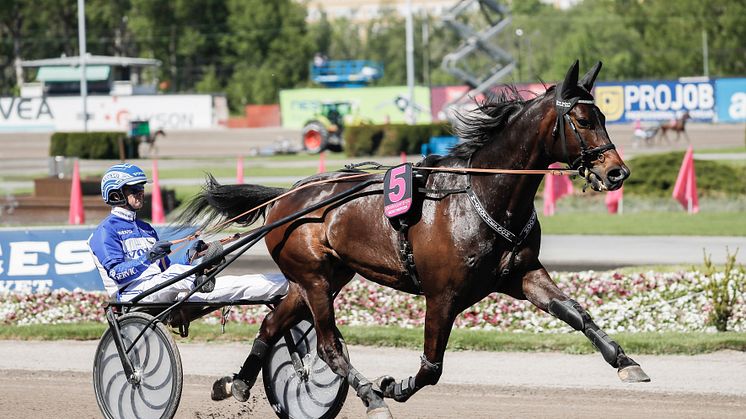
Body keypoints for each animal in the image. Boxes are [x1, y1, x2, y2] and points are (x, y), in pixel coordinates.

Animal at [179, 60, 644, 418]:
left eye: (604, 117)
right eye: (582, 120)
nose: (617, 172)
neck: (482, 195)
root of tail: (287, 195)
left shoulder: (522, 274)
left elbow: (577, 313)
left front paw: (626, 361)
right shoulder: (443, 294)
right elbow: (431, 367)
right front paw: (393, 386)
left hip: (320, 278)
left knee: (273, 322)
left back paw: (236, 383)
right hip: (314, 279)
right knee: (328, 347)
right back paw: (370, 396)